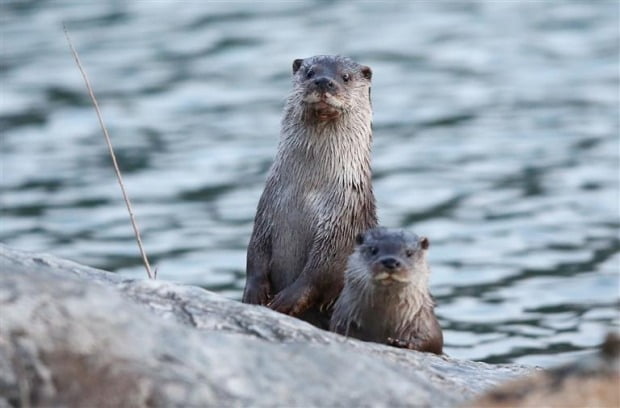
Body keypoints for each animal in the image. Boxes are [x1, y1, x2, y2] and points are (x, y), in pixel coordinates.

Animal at [242, 55, 378, 328]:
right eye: (309, 72)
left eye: (345, 77)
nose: (324, 81)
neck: (305, 194)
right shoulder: (266, 211)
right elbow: (255, 253)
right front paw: (253, 293)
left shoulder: (342, 223)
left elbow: (322, 270)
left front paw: (286, 300)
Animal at [330, 226, 440, 354]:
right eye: (373, 249)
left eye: (409, 252)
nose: (390, 261)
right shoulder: (343, 320)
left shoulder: (424, 323)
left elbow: (429, 341)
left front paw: (402, 343)